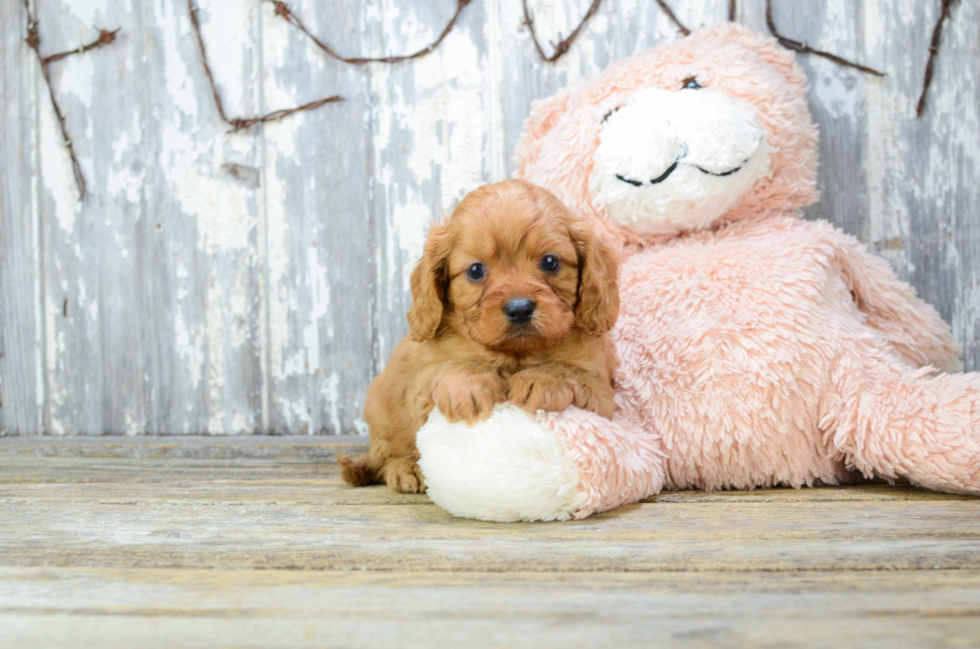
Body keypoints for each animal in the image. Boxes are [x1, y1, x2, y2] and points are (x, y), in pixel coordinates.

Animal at [336, 178, 620, 492]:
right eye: (475, 270)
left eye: (550, 262)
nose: (520, 309)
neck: (514, 355)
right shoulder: (422, 386)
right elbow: (447, 370)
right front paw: (469, 384)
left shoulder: (602, 394)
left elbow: (571, 373)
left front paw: (543, 380)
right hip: (381, 412)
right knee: (386, 454)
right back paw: (406, 467)